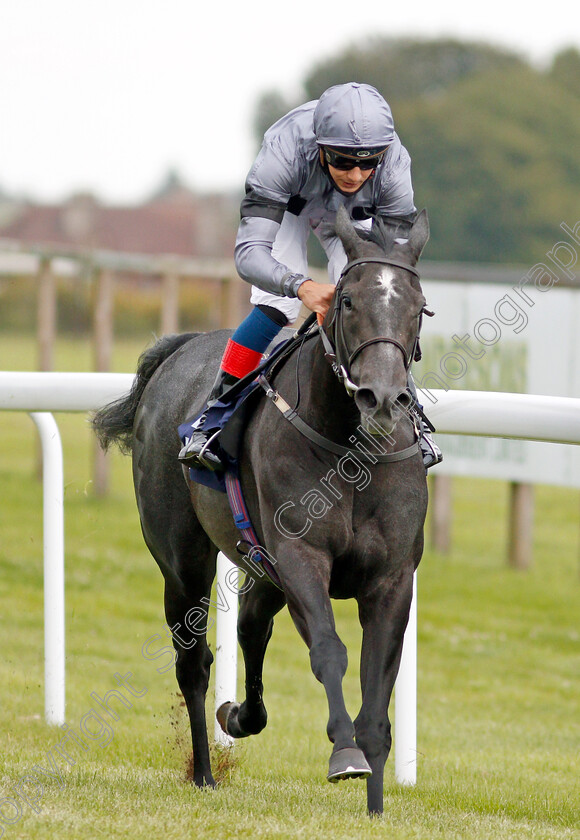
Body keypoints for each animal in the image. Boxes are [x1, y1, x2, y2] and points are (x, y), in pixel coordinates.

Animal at [93, 207, 430, 816]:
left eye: (418, 305)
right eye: (347, 301)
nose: (382, 398)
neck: (349, 448)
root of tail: (179, 352)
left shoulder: (392, 578)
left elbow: (380, 677)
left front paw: (375, 801)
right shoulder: (300, 559)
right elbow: (329, 651)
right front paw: (345, 754)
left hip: (260, 567)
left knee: (251, 624)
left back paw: (240, 716)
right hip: (184, 562)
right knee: (193, 661)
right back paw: (205, 771)